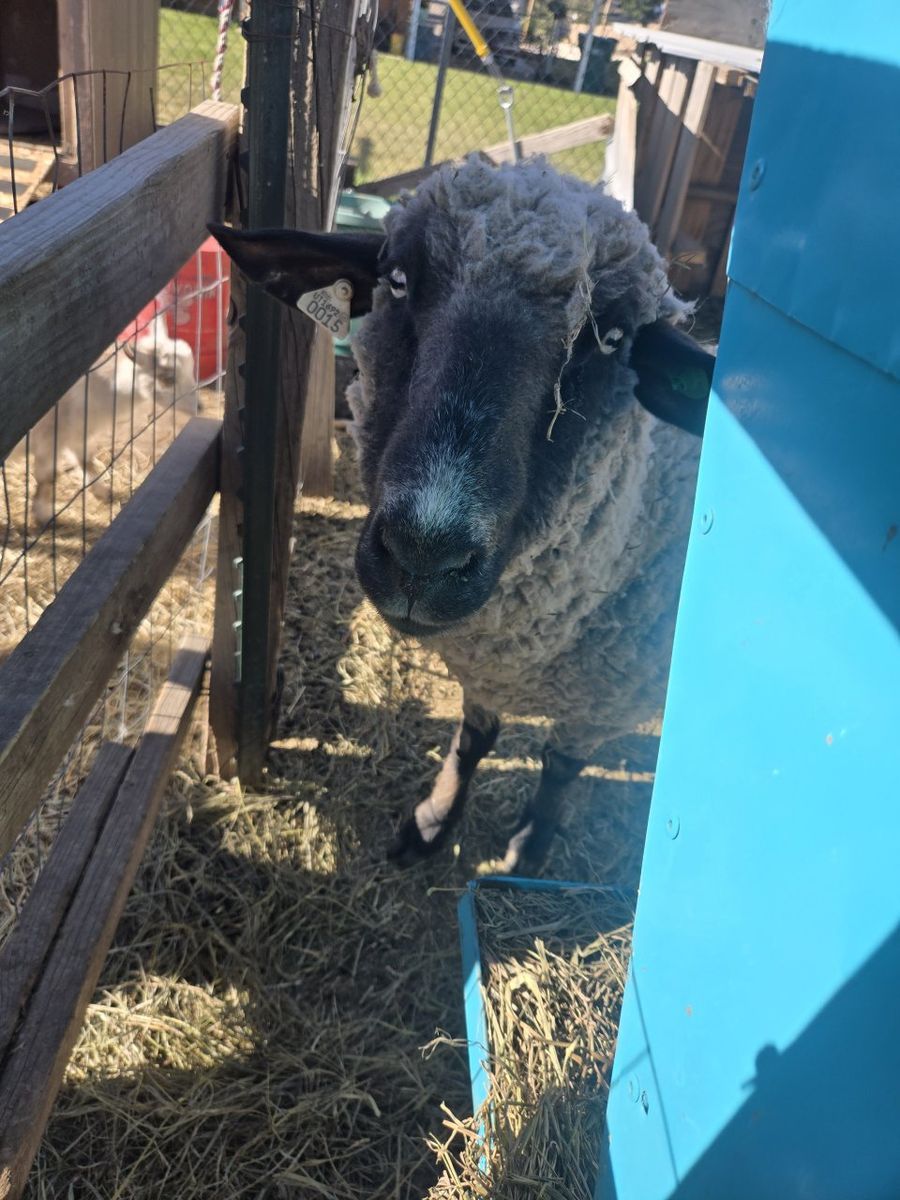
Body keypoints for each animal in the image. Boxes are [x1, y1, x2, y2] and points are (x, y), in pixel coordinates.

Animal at [29, 316, 196, 526]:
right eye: (167, 379)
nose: (198, 407)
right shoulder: (49, 438)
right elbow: (48, 477)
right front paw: (44, 516)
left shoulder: (78, 434)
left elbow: (86, 461)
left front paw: (104, 492)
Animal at [209, 155, 714, 875]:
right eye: (396, 280)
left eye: (613, 339)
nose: (423, 556)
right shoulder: (484, 660)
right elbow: (475, 739)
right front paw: (431, 824)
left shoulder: (607, 693)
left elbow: (562, 764)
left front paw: (528, 849)